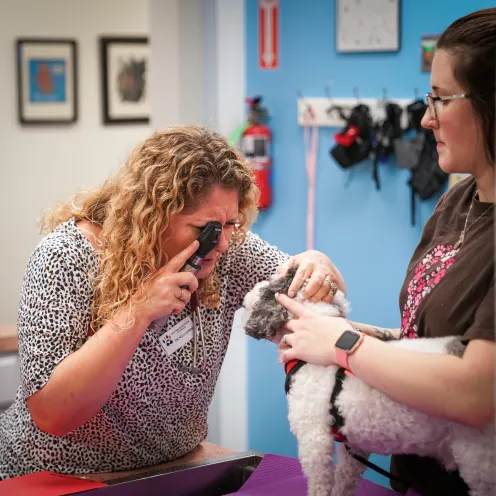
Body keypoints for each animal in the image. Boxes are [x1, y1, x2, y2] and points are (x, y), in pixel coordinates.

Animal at [242, 268, 494, 496]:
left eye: (269, 286)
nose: (246, 297)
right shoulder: (356, 446)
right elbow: (344, 482)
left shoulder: (315, 439)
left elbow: (320, 485)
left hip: (477, 458)